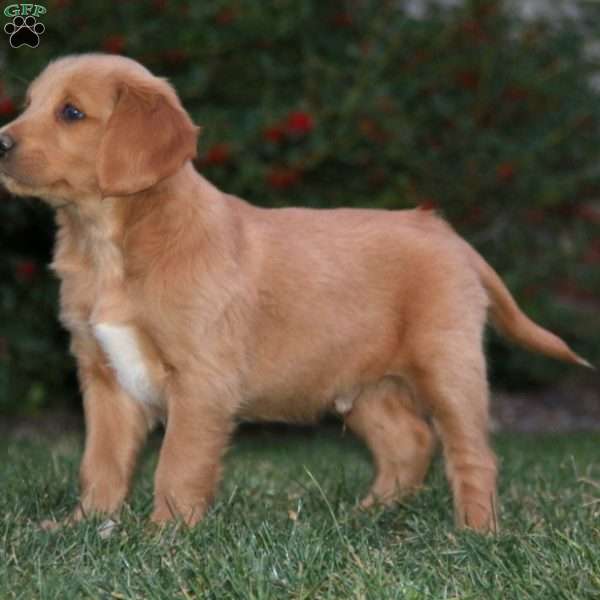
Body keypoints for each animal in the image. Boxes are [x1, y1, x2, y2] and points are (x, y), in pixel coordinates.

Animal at [0, 55, 592, 528]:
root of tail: (444, 230)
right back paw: (365, 516)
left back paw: (474, 533)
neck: (111, 243)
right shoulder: (103, 375)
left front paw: (162, 537)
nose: (1, 141)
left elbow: (177, 465)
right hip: (362, 381)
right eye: (29, 103)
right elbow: (99, 463)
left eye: (71, 113)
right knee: (409, 442)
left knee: (471, 454)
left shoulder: (201, 381)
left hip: (448, 364)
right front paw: (82, 527)